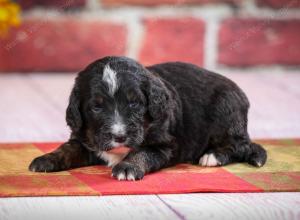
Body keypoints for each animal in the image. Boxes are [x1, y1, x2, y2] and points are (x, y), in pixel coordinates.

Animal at [28, 56, 268, 180]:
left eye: (134, 103)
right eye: (96, 107)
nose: (119, 136)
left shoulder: (163, 145)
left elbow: (141, 152)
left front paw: (127, 167)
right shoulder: (84, 139)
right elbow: (66, 149)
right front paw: (45, 159)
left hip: (226, 113)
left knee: (241, 145)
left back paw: (213, 156)